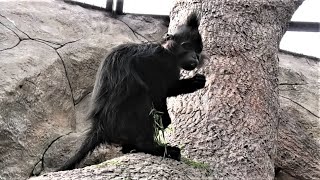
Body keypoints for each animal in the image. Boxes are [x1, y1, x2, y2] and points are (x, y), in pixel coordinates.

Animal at [57, 12, 206, 170]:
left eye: (198, 51)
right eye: (187, 46)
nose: (195, 57)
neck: (169, 54)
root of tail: (100, 126)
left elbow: (168, 88)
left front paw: (195, 82)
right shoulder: (157, 58)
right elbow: (156, 90)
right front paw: (165, 118)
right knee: (142, 94)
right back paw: (151, 147)